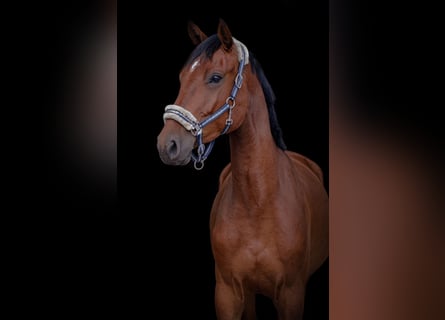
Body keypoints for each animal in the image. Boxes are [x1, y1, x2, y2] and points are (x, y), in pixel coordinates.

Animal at [156, 18, 326, 318]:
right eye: (181, 77)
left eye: (214, 77)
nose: (168, 144)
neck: (258, 204)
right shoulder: (227, 292)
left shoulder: (292, 294)